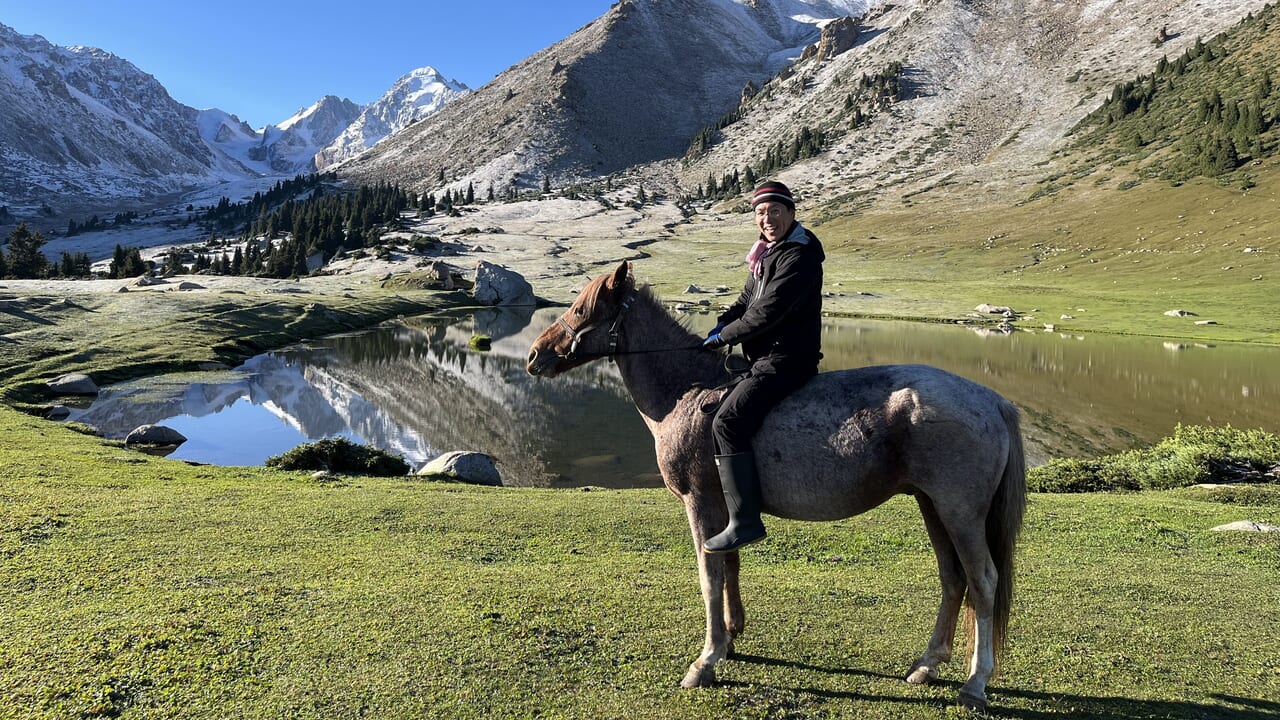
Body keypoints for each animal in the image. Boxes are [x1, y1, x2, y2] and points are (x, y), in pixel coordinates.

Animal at [524, 258, 1024, 707]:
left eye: (581, 310)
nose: (533, 355)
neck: (689, 393)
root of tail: (992, 400)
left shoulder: (700, 504)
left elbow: (709, 576)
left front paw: (706, 660)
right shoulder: (726, 513)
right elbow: (729, 565)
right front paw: (730, 638)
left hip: (959, 512)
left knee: (982, 581)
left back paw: (976, 682)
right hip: (932, 506)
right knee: (952, 578)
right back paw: (927, 664)